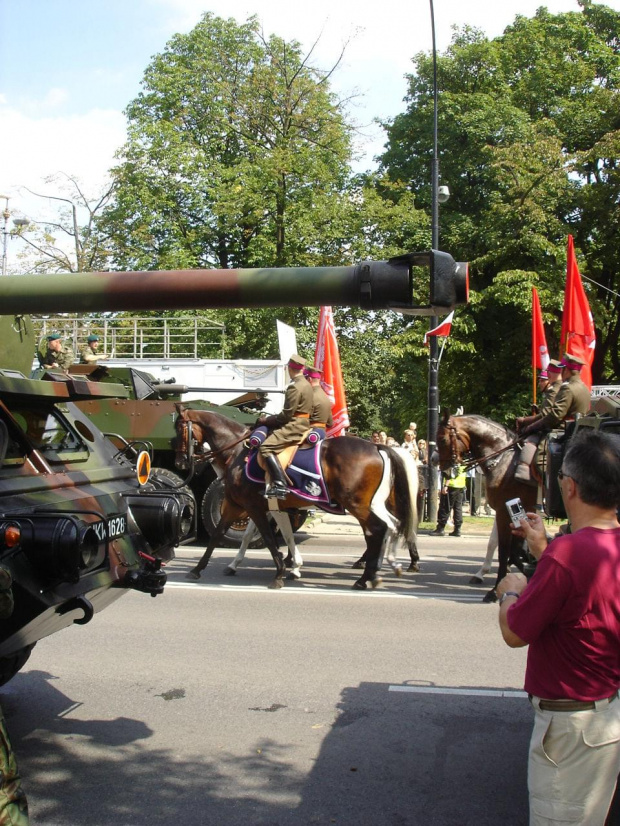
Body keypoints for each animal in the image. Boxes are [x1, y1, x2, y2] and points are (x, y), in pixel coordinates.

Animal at [174, 404, 416, 584]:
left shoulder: (253, 507)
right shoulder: (249, 506)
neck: (237, 451)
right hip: (371, 505)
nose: (180, 462)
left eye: (178, 428)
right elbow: (225, 535)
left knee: (378, 530)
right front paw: (202, 568)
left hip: (359, 505)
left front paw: (282, 569)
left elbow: (269, 538)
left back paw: (368, 576)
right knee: (389, 527)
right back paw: (380, 568)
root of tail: (376, 447)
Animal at [436, 410, 536, 600]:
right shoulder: (508, 511)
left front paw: (496, 589)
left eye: (442, 439)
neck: (503, 460)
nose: (444, 472)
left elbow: (504, 549)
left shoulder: (506, 511)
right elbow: (496, 544)